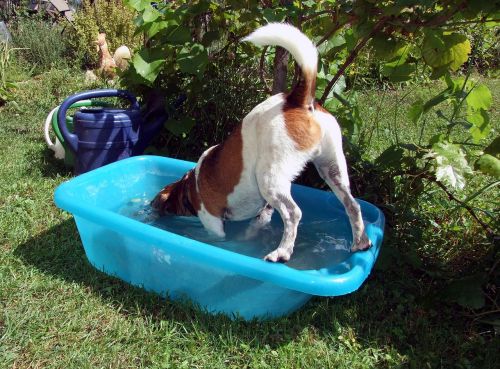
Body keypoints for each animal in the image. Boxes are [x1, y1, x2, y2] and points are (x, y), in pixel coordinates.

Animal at [151, 23, 372, 262]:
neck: (190, 186)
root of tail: (297, 99)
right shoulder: (264, 211)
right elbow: (258, 222)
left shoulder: (212, 221)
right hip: (331, 168)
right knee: (352, 205)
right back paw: (360, 242)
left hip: (269, 178)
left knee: (293, 213)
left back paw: (281, 252)